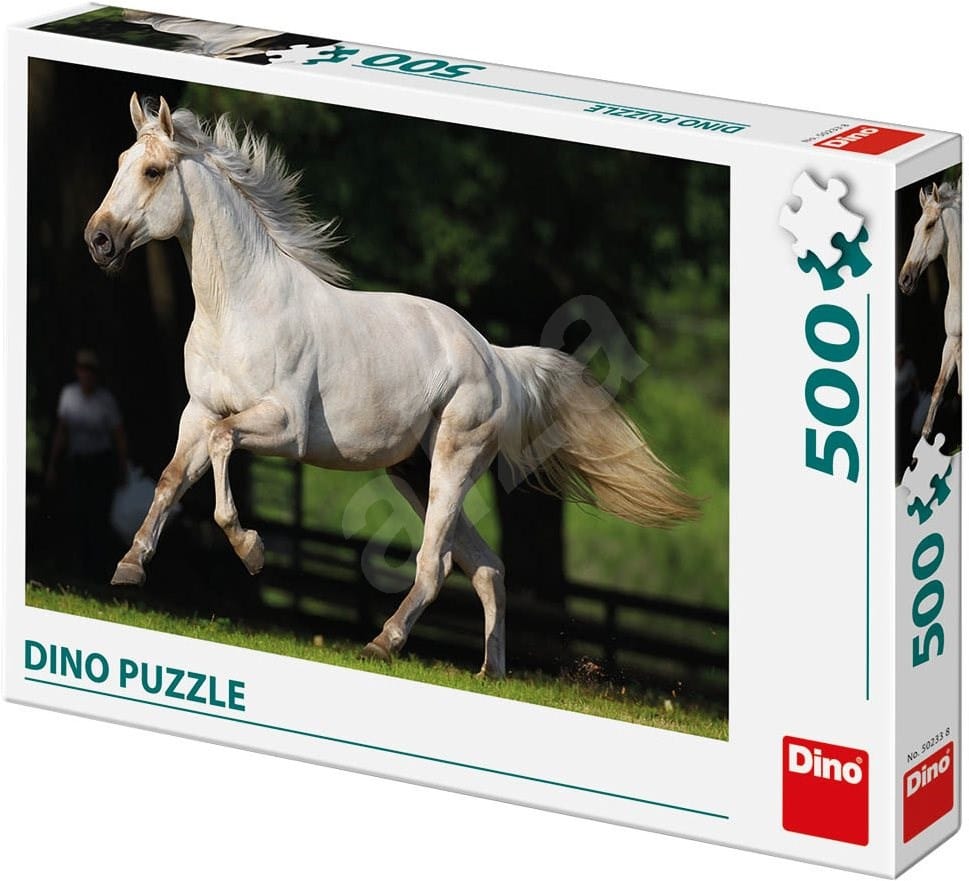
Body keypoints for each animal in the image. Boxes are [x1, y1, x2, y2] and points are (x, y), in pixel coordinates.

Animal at [84, 93, 698, 678]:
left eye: (154, 171)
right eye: (118, 162)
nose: (98, 240)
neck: (240, 309)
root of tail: (496, 359)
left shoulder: (283, 428)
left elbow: (221, 451)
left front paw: (252, 552)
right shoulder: (198, 411)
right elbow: (171, 478)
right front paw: (129, 568)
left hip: (452, 461)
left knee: (437, 564)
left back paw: (384, 643)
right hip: (413, 469)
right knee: (486, 566)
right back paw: (490, 672)